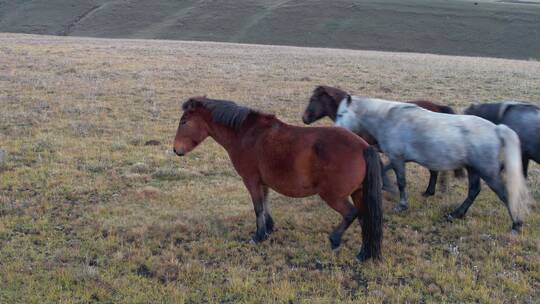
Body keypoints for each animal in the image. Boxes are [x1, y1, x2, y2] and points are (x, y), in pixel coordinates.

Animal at [173, 97, 384, 262]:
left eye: (184, 122)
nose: (176, 149)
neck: (247, 133)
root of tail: (363, 147)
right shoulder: (263, 182)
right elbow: (266, 205)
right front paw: (268, 230)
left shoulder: (251, 181)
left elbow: (258, 208)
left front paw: (258, 236)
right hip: (359, 193)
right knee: (365, 219)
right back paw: (363, 254)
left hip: (333, 196)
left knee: (351, 214)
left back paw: (335, 239)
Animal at [304, 84, 464, 196]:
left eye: (313, 100)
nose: (304, 118)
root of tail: (438, 107)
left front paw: (387, 187)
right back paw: (432, 191)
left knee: (434, 171)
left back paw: (431, 191)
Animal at [336, 96, 528, 234]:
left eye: (341, 114)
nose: (337, 130)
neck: (389, 118)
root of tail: (496, 129)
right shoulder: (399, 158)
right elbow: (385, 170)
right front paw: (388, 188)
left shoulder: (397, 158)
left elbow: (401, 182)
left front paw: (401, 205)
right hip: (473, 169)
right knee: (474, 191)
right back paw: (456, 214)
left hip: (487, 172)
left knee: (504, 194)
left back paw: (516, 225)